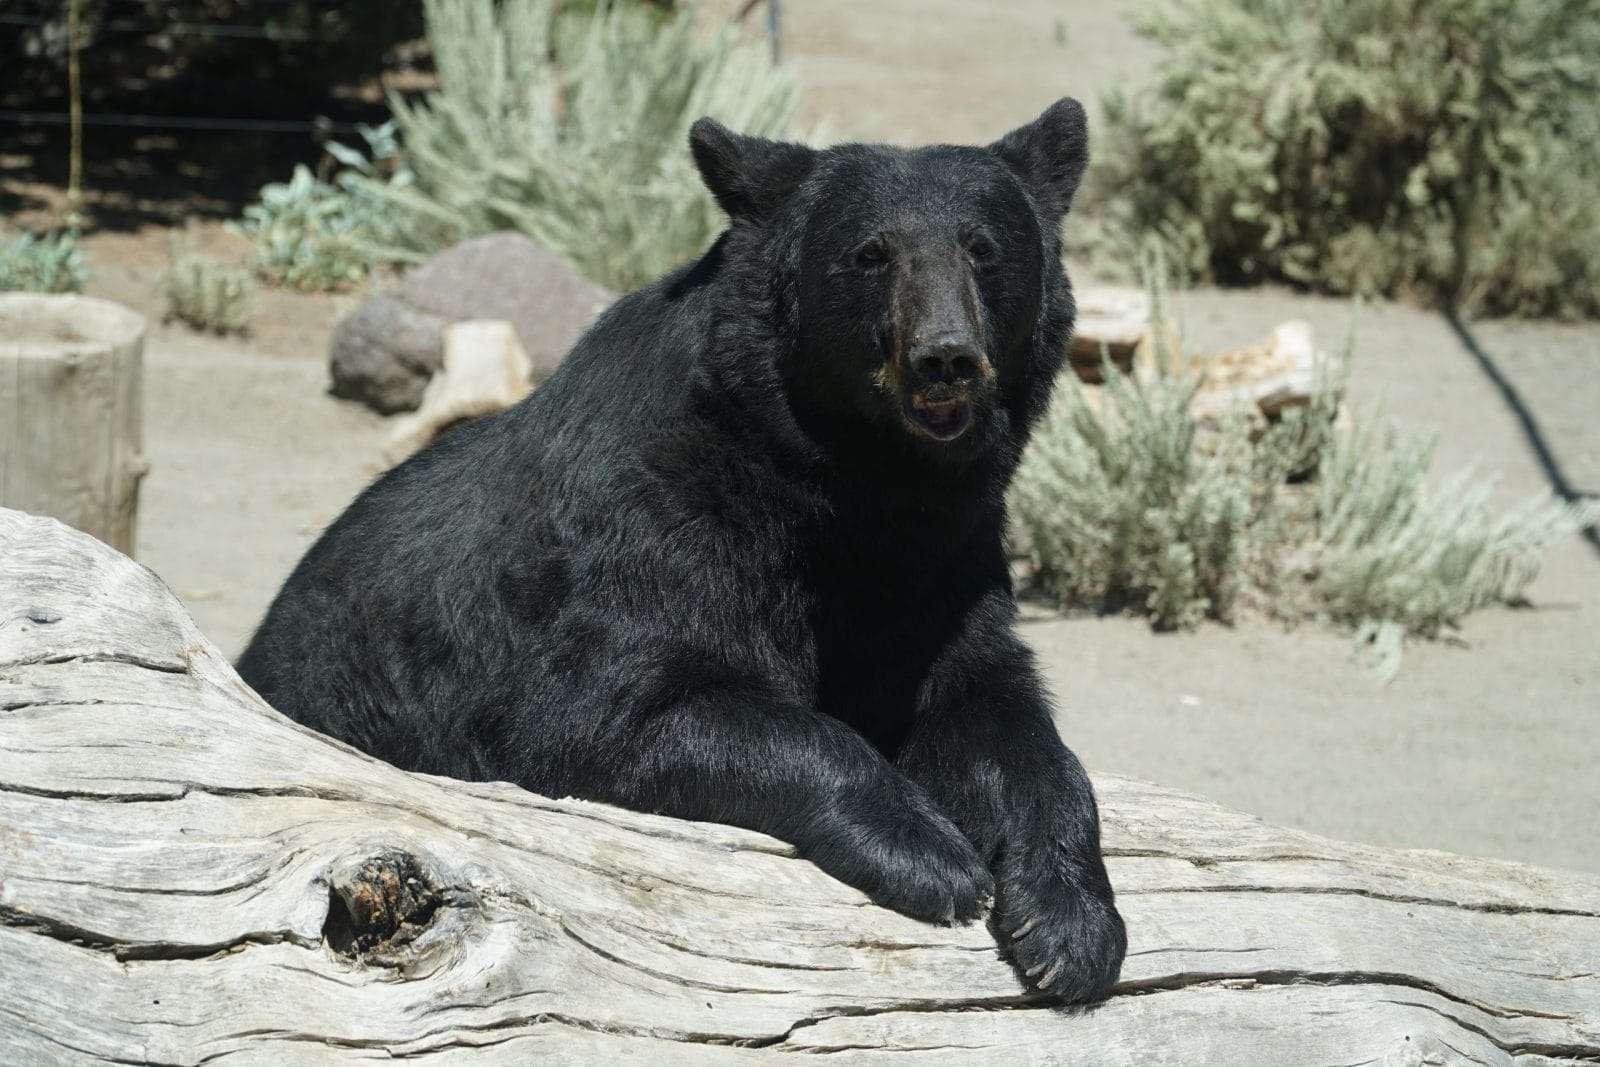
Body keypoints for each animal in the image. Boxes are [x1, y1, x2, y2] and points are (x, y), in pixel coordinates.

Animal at [237, 97, 1126, 1003]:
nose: (945, 357)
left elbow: (990, 704)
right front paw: (931, 853)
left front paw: (1071, 923)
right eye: (870, 254)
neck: (847, 480)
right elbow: (616, 710)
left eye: (983, 248)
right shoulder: (650, 523)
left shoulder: (946, 553)